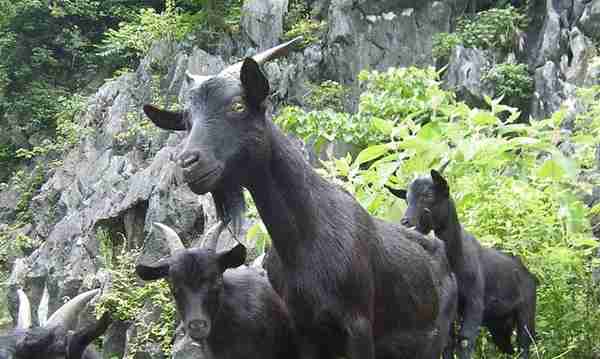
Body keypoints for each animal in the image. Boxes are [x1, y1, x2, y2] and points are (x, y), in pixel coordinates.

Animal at [390, 169, 540, 359]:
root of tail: (530, 276)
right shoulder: (450, 308)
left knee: (524, 344)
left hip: (526, 313)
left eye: (428, 195)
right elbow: (447, 344)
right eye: (407, 199)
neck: (456, 261)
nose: (405, 222)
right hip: (499, 324)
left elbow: (465, 341)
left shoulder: (474, 302)